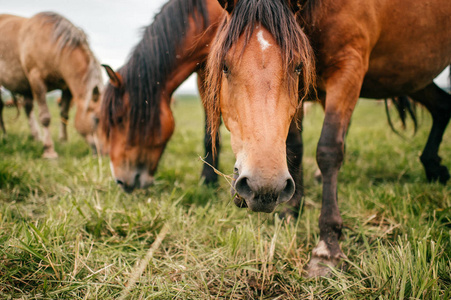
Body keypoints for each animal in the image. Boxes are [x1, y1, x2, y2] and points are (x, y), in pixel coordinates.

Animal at [0, 11, 103, 157]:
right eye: (96, 119)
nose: (105, 152)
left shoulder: (66, 88)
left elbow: (64, 114)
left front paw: (63, 141)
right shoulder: (36, 80)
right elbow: (45, 117)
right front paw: (49, 150)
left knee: (28, 108)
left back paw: (36, 137)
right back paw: (5, 136)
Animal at [207, 0, 451, 276]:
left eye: (297, 66)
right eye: (225, 67)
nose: (265, 187)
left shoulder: (349, 68)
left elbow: (328, 150)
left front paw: (328, 246)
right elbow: (294, 147)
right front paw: (292, 212)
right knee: (443, 106)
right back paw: (434, 168)